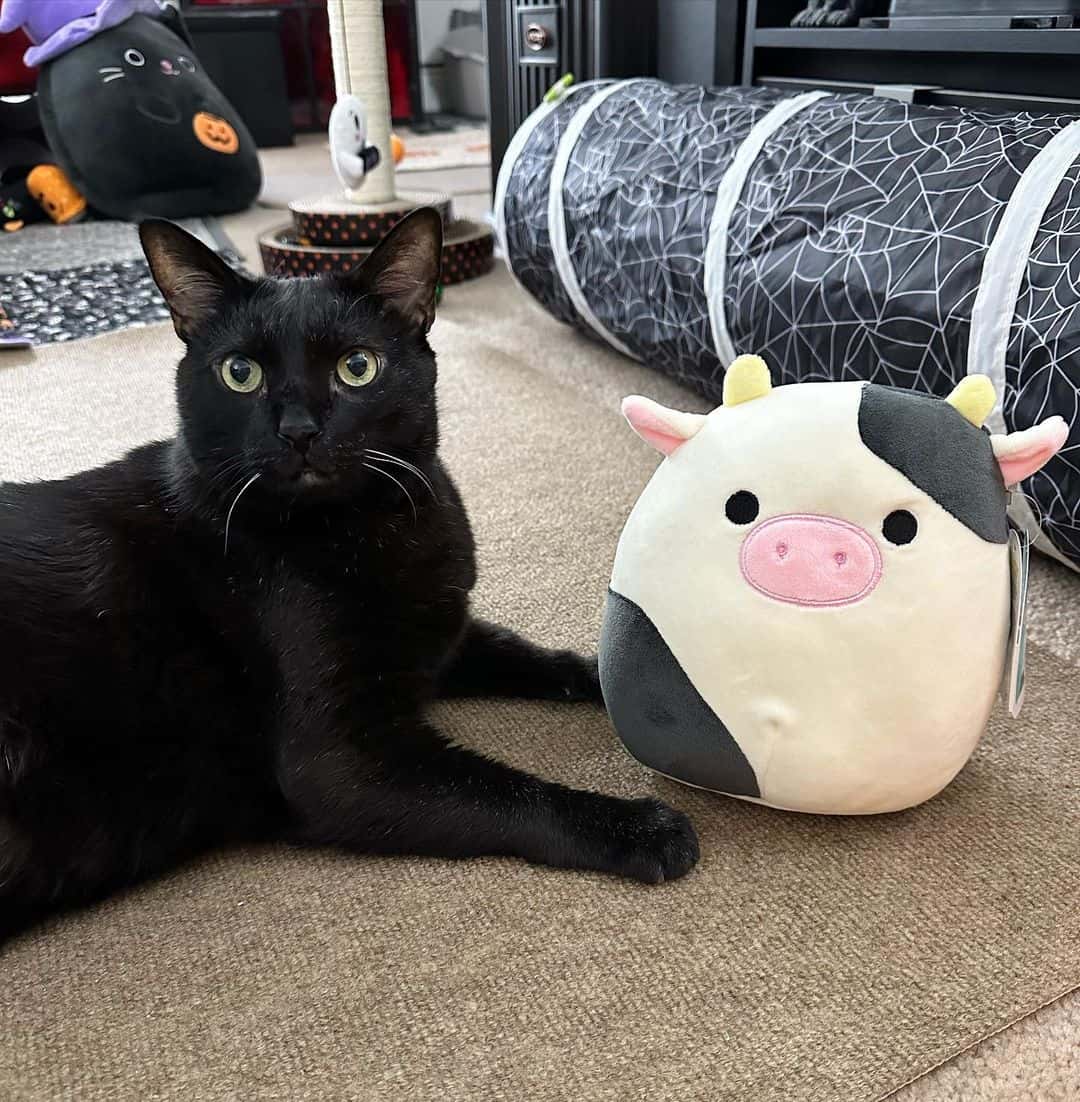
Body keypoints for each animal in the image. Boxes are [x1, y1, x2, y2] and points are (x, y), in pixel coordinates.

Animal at [0, 210, 700, 934]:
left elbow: (527, 653)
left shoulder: (442, 635)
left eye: (357, 367)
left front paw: (607, 679)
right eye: (240, 373)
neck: (370, 528)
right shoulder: (342, 762)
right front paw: (636, 827)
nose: (299, 430)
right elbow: (503, 790)